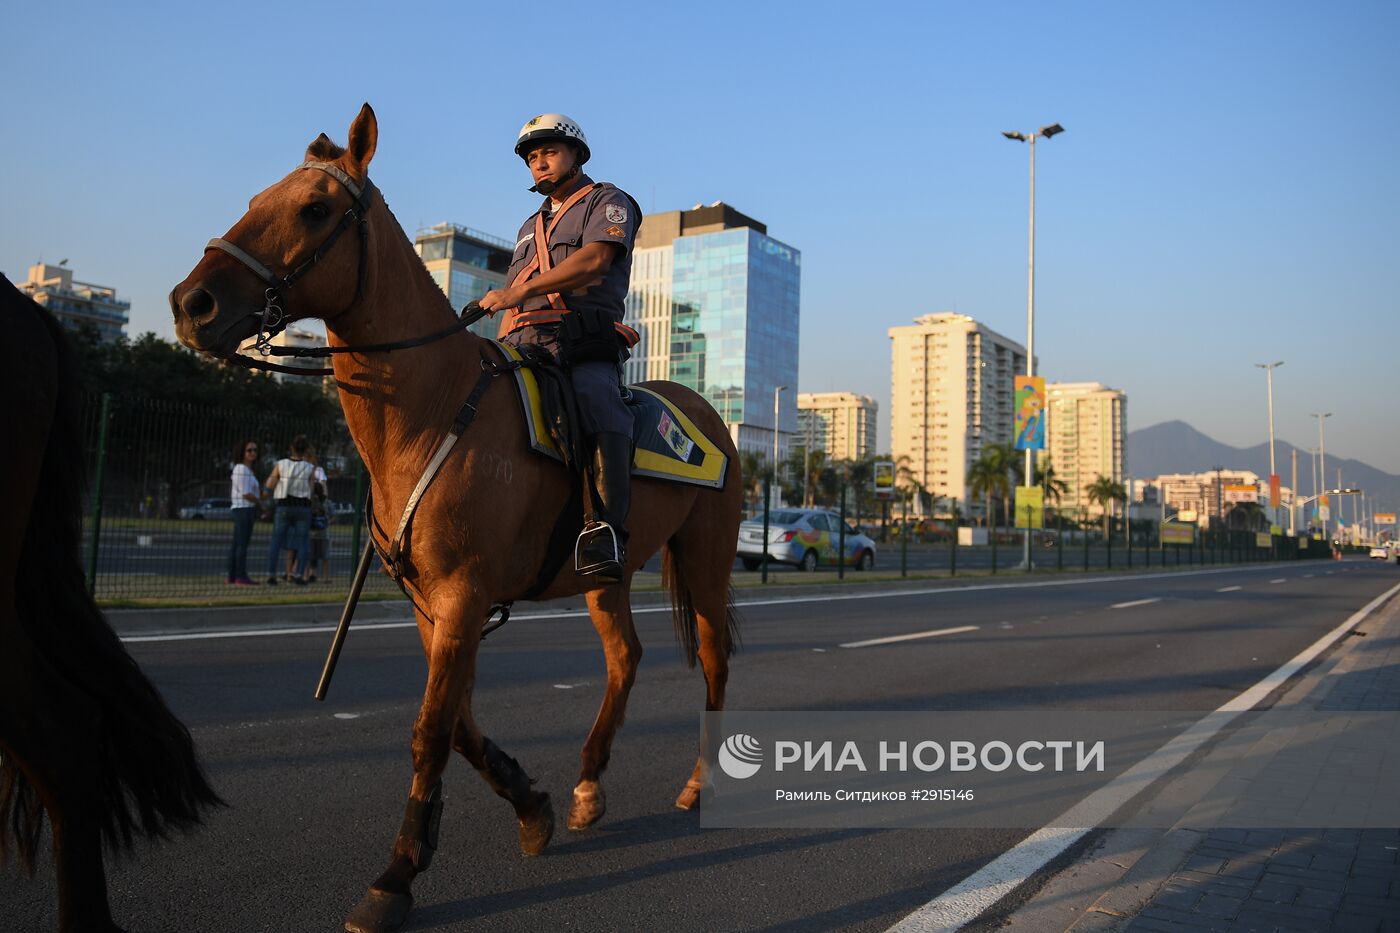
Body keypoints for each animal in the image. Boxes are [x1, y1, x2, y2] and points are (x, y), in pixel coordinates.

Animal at [172, 103, 744, 930]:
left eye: (314, 209)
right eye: (257, 199)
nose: (194, 304)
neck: (432, 408)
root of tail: (707, 412)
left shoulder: (464, 595)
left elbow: (431, 729)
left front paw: (396, 873)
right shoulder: (431, 602)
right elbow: (460, 720)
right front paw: (531, 803)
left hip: (705, 556)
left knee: (713, 656)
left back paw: (701, 782)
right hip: (604, 570)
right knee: (625, 656)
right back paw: (588, 782)